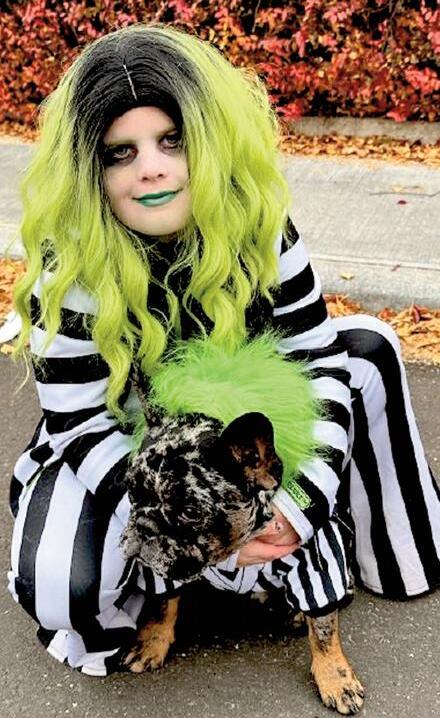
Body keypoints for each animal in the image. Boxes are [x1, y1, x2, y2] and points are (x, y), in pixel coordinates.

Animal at [120, 409, 364, 715]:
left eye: (190, 511)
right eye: (131, 492)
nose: (144, 526)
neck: (230, 553)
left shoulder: (315, 562)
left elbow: (323, 628)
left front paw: (336, 679)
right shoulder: (163, 573)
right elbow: (163, 604)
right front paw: (151, 642)